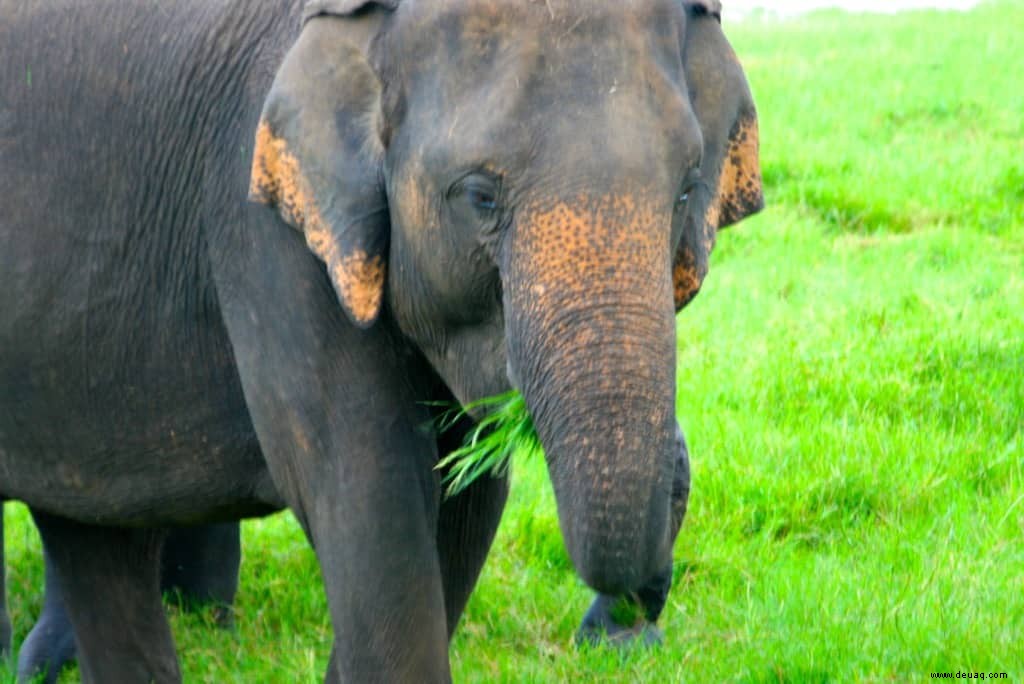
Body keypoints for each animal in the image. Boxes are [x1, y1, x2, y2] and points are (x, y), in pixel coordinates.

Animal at [0, 0, 765, 679]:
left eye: (686, 190)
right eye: (480, 197)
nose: (624, 625)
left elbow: (465, 500)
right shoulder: (267, 231)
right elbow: (373, 500)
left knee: (91, 531)